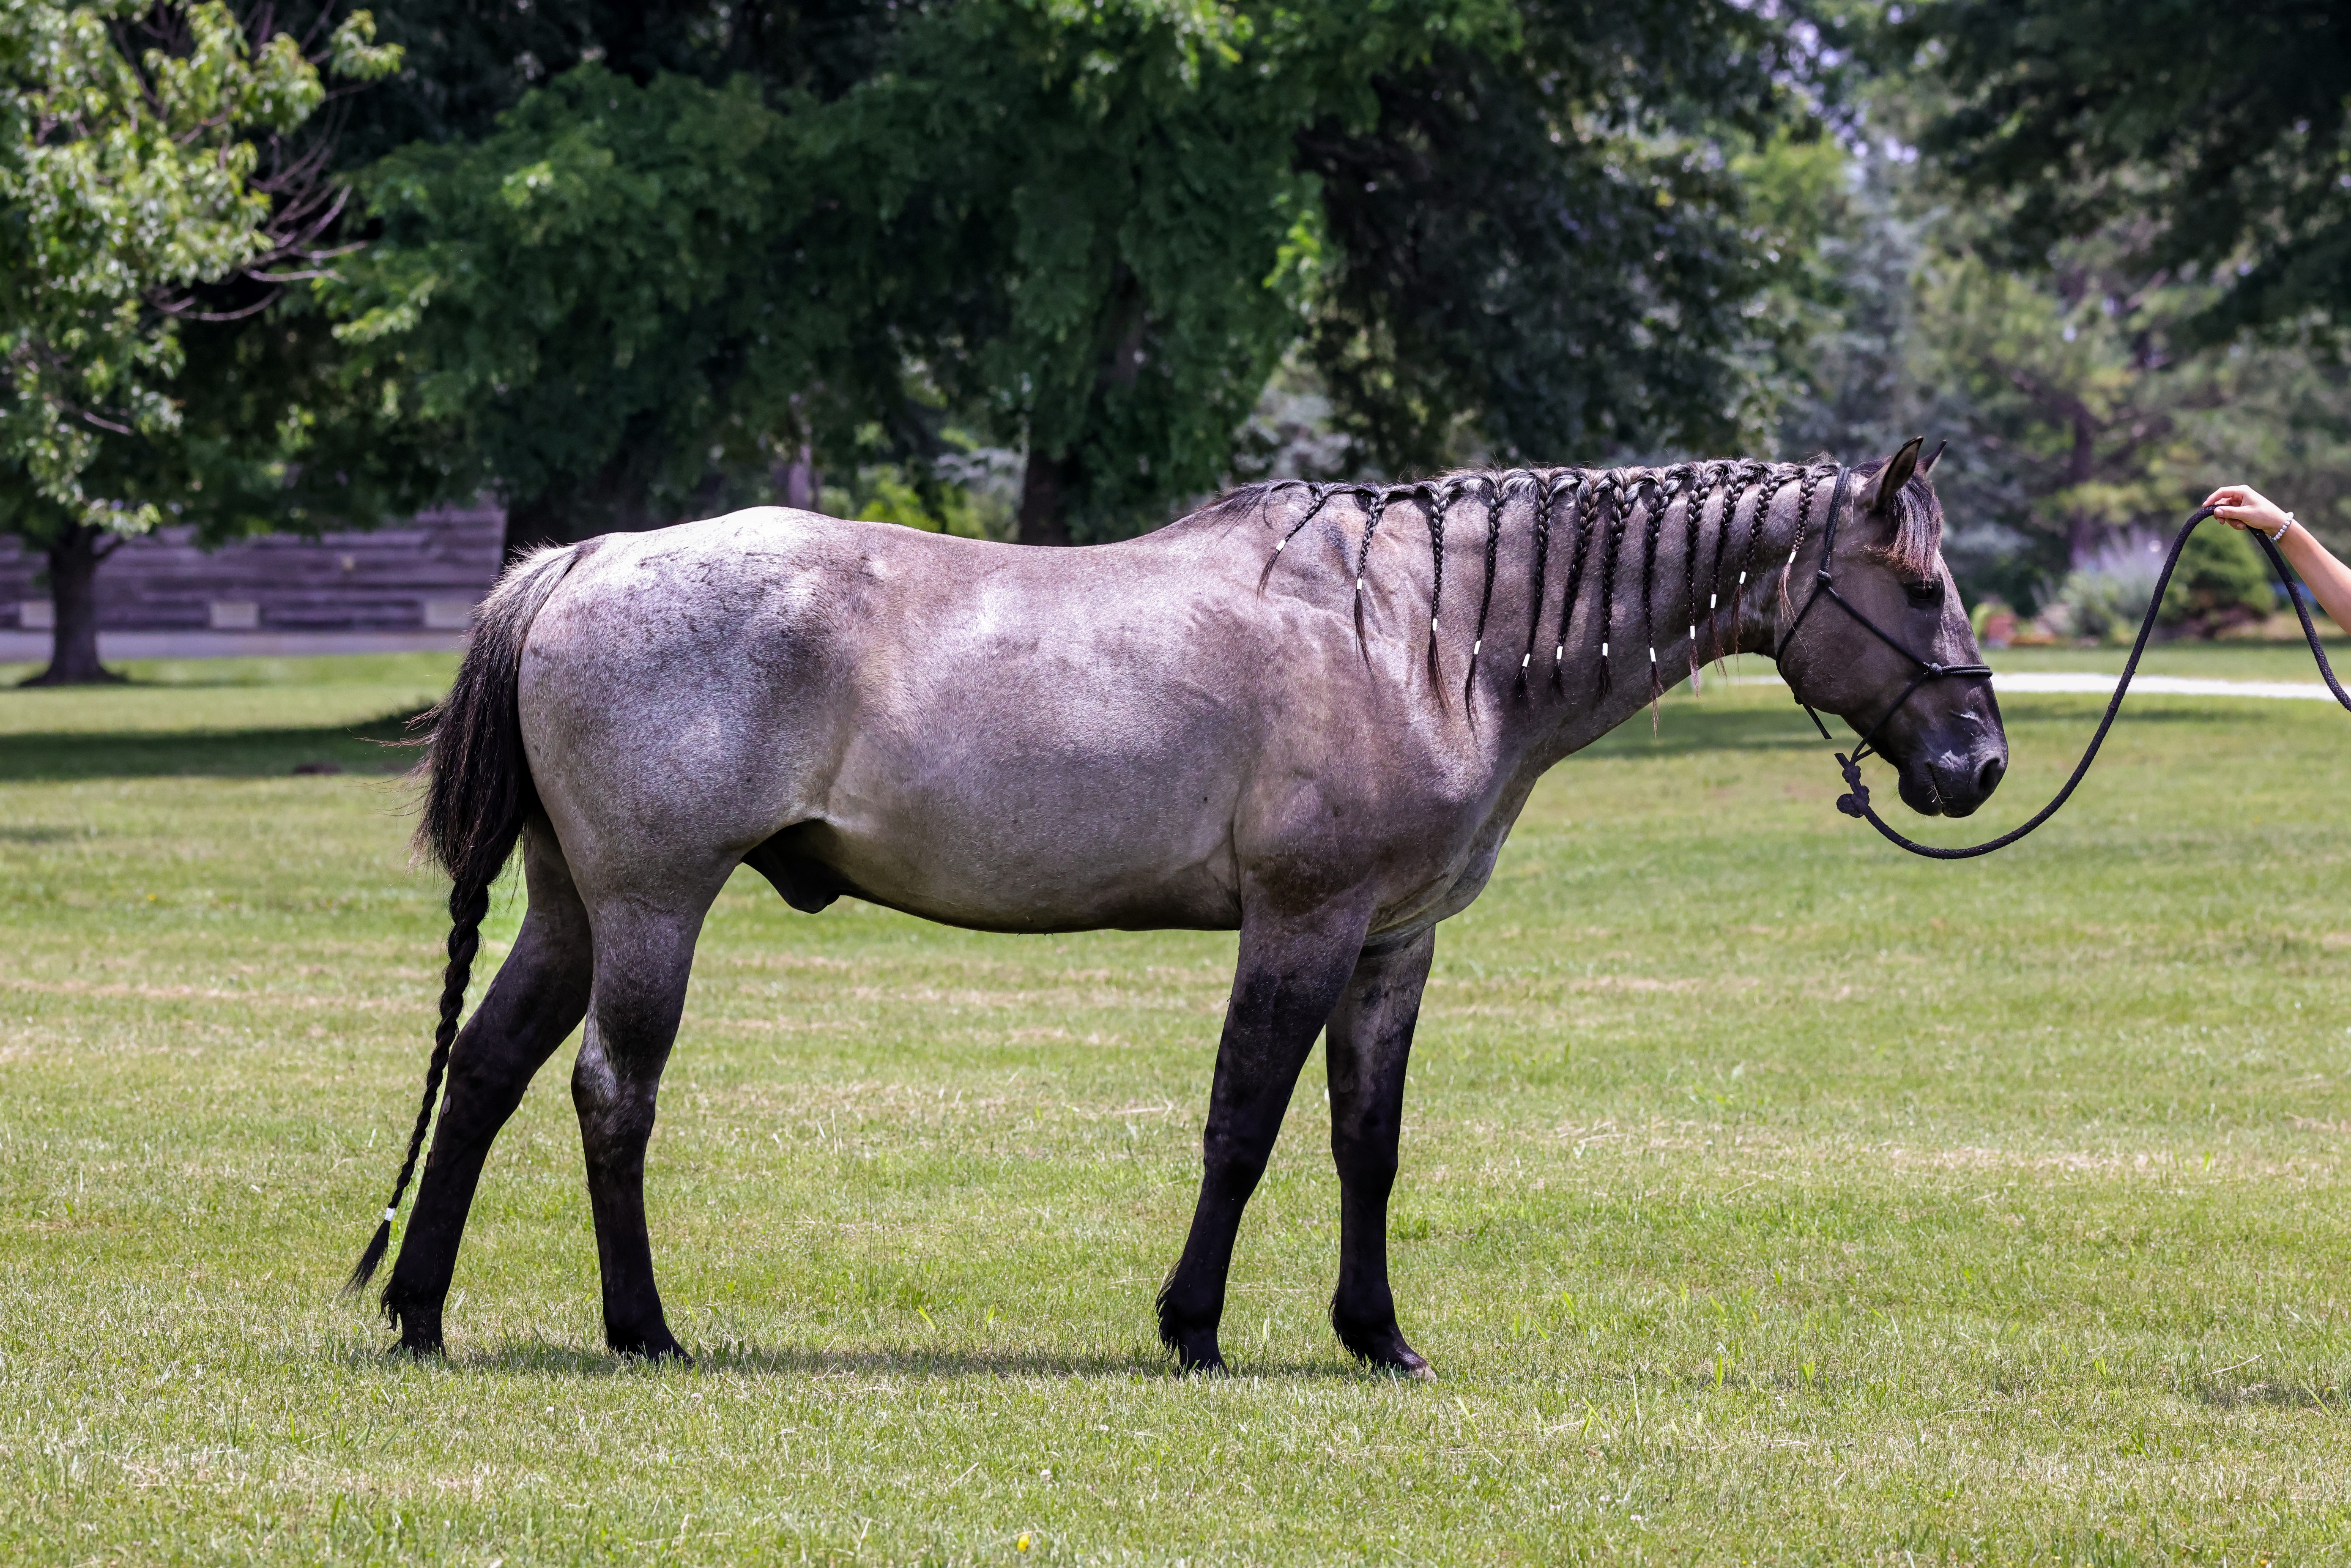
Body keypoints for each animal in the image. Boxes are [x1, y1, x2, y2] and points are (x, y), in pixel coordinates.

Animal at [346, 436, 2006, 1378]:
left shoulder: (1392, 943)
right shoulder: (1302, 923)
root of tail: (580, 561)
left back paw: (421, 1311)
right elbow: (1245, 1124)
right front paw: (1193, 1325)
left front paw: (1375, 1333)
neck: (1426, 630)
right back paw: (642, 1327)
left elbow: (1362, 1141)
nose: (1977, 762)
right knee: (610, 1093)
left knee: (485, 1075)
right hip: (650, 907)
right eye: (1922, 590)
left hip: (570, 906)